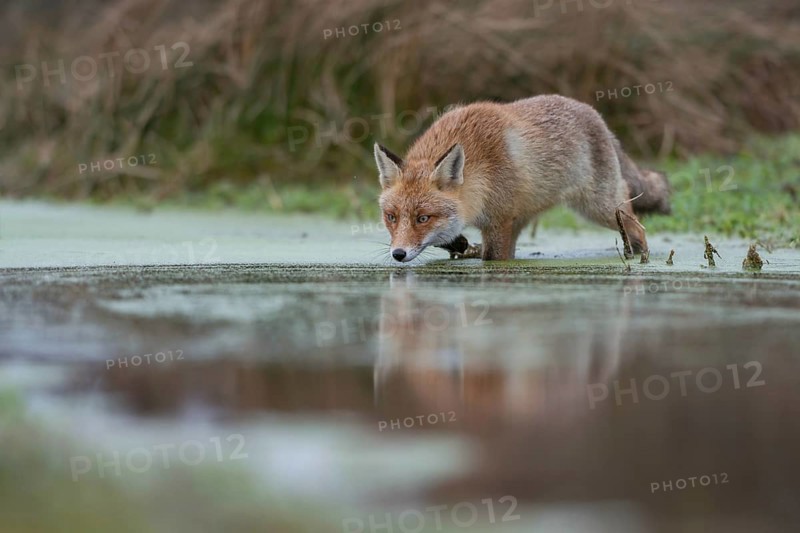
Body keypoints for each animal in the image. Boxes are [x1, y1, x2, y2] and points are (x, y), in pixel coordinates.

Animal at [374, 94, 670, 262]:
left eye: (423, 218)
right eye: (391, 217)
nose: (397, 254)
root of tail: (597, 117)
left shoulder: (498, 223)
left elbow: (492, 261)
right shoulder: (503, 223)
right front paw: (459, 244)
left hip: (600, 208)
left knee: (638, 228)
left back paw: (640, 259)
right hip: (525, 219)